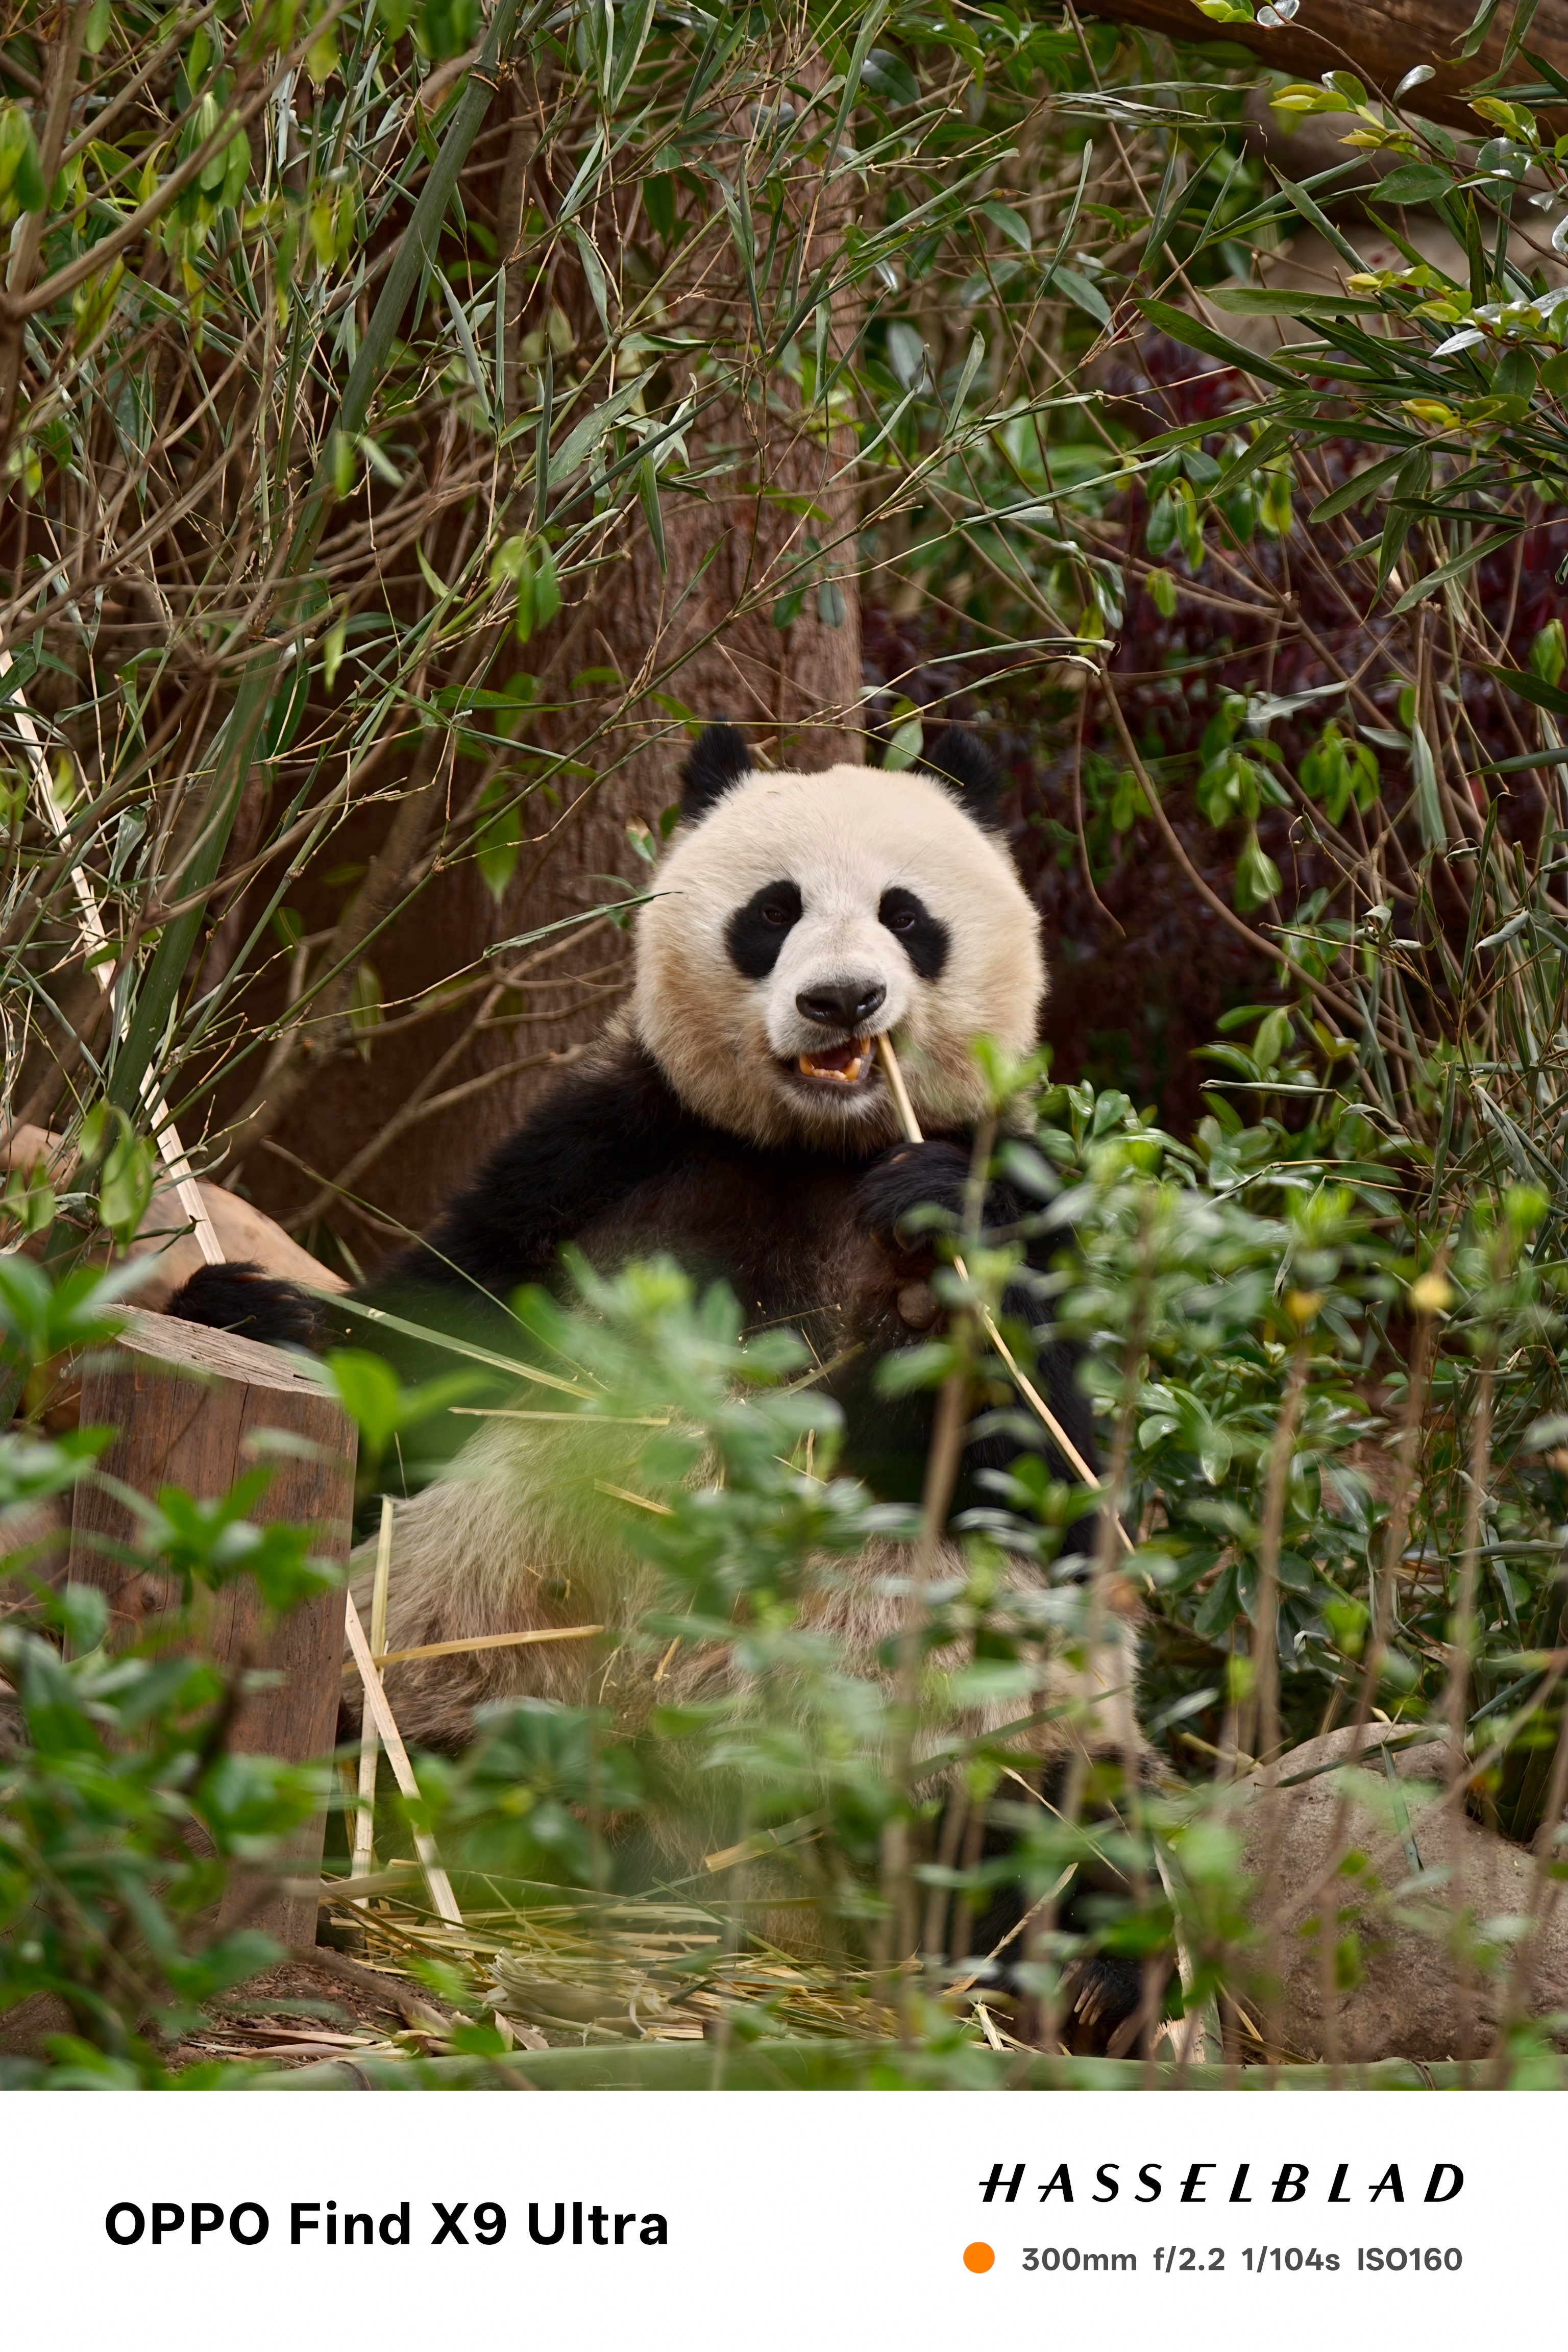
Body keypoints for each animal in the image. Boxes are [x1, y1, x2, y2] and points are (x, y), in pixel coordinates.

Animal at [170, 722, 1149, 2034]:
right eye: (773, 913)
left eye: (906, 916)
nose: (843, 998)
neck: (813, 1152)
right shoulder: (605, 1148)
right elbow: (441, 1336)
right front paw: (249, 1308)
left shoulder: (1023, 1191)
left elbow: (1047, 1472)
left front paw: (934, 1231)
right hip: (468, 1659)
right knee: (381, 1720)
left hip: (978, 1724)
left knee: (1050, 1804)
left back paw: (1090, 1976)